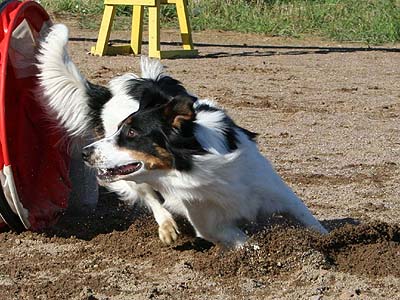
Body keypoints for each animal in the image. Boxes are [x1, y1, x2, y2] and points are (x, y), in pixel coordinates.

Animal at [37, 24, 326, 248]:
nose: (85, 153)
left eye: (132, 132)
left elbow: (312, 223)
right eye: (122, 130)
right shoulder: (213, 225)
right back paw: (167, 226)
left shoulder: (277, 193)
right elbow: (247, 245)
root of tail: (108, 96)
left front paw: (328, 245)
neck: (198, 165)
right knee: (150, 198)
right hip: (131, 179)